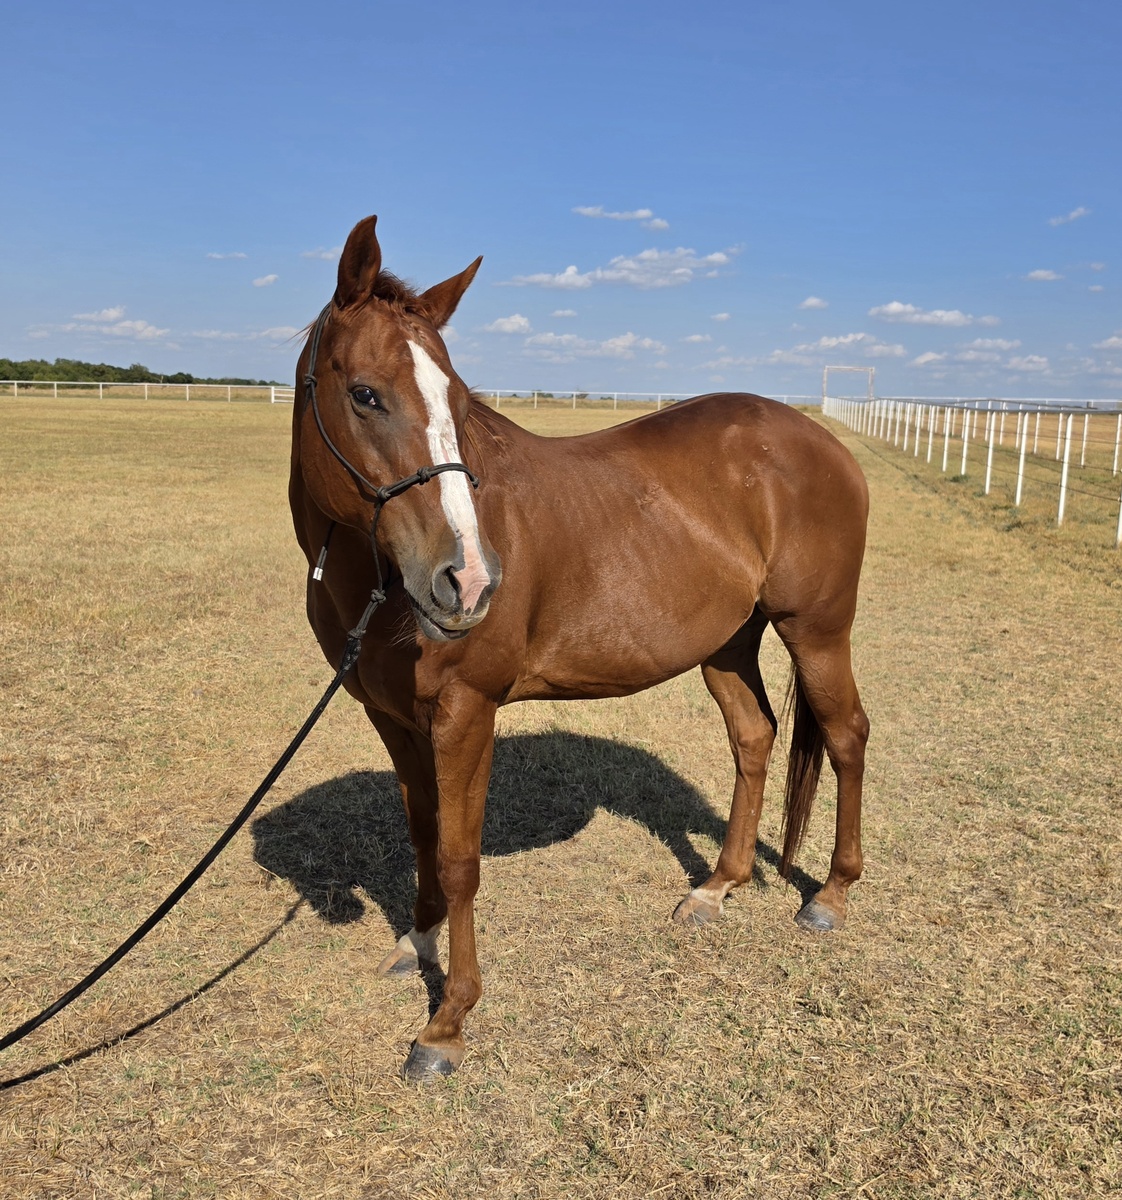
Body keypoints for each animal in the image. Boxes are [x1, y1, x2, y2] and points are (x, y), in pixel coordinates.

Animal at [289, 215, 870, 1080]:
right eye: (364, 393)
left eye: (457, 400)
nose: (467, 580)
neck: (375, 583)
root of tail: (822, 442)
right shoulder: (391, 716)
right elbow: (423, 835)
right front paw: (418, 942)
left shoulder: (466, 712)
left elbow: (460, 859)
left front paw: (448, 1022)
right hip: (728, 642)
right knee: (755, 736)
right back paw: (719, 886)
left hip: (818, 632)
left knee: (845, 736)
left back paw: (830, 895)